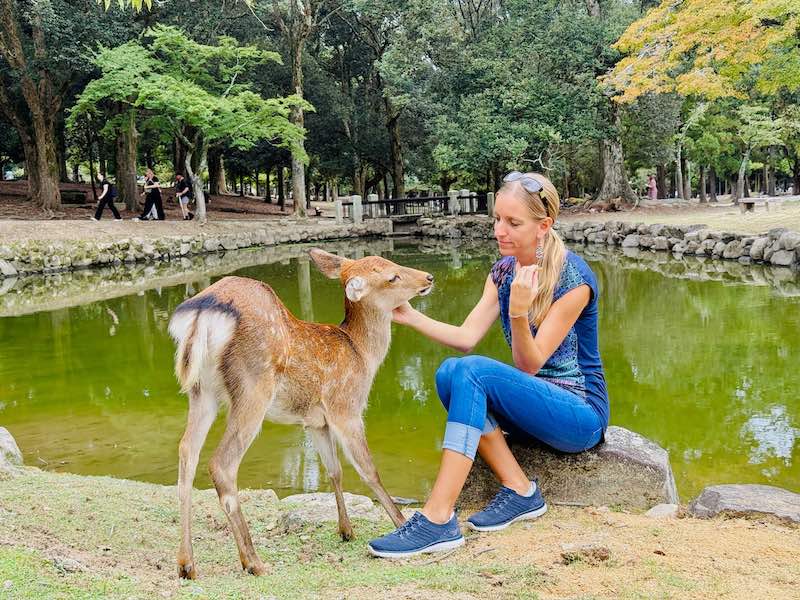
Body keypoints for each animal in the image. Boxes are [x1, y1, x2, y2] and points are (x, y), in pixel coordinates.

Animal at [168, 248, 434, 579]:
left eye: (392, 263)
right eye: (392, 276)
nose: (429, 277)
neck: (361, 354)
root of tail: (202, 312)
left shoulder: (315, 422)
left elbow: (334, 470)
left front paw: (346, 530)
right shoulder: (346, 407)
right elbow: (368, 469)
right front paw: (400, 523)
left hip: (202, 391)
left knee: (186, 452)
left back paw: (187, 564)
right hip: (253, 387)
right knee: (221, 464)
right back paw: (253, 561)